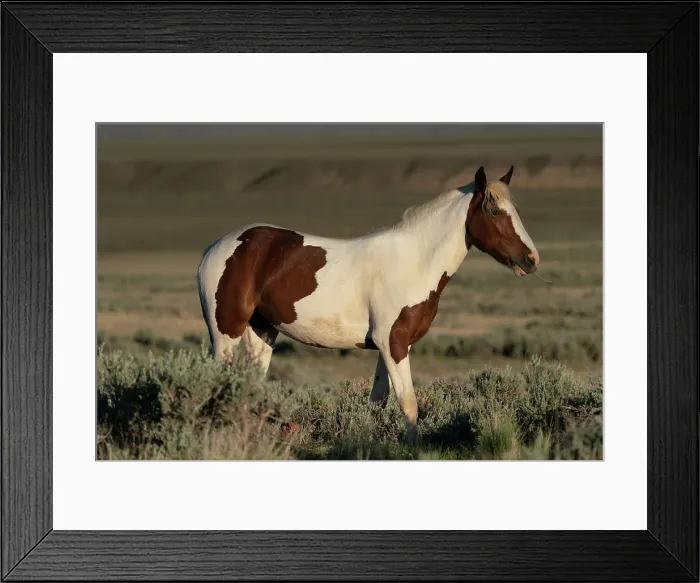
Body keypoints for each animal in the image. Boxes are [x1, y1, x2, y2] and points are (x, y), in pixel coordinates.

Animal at [197, 165, 539, 442]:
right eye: (494, 212)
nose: (531, 259)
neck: (414, 261)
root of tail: (214, 248)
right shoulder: (392, 343)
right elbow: (408, 402)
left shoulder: (393, 345)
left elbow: (379, 400)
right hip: (226, 333)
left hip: (262, 333)